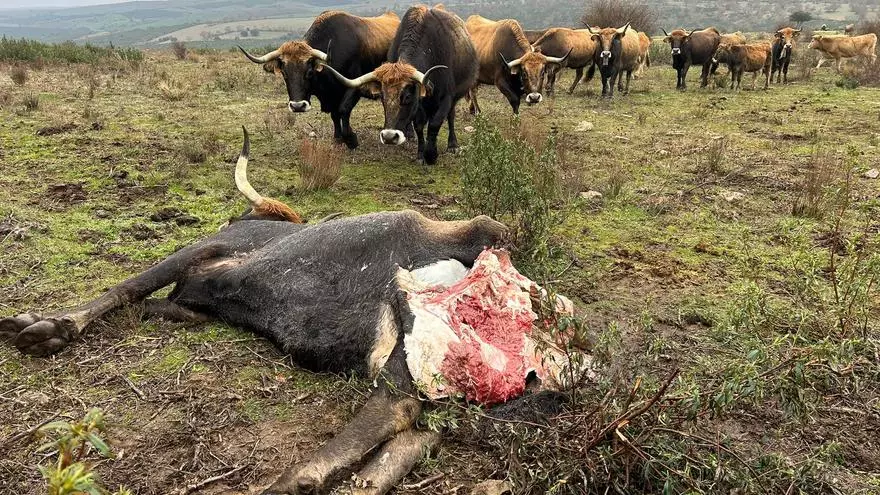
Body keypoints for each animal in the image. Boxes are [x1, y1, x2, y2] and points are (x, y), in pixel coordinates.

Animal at [2, 128, 575, 495]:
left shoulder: (209, 252)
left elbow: (127, 287)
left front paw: (42, 328)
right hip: (438, 392)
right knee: (405, 438)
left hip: (406, 359)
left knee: (385, 417)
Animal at [238, 11, 399, 150]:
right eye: (284, 73)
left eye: (309, 72)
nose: (298, 106)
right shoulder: (331, 96)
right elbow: (335, 115)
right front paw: (338, 139)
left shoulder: (353, 87)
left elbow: (343, 110)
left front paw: (351, 139)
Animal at [320, 5, 477, 165]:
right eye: (382, 97)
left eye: (407, 97)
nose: (389, 137)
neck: (431, 50)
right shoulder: (418, 104)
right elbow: (419, 126)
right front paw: (420, 155)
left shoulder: (446, 98)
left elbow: (435, 123)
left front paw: (431, 155)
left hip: (456, 96)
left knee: (450, 117)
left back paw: (452, 145)